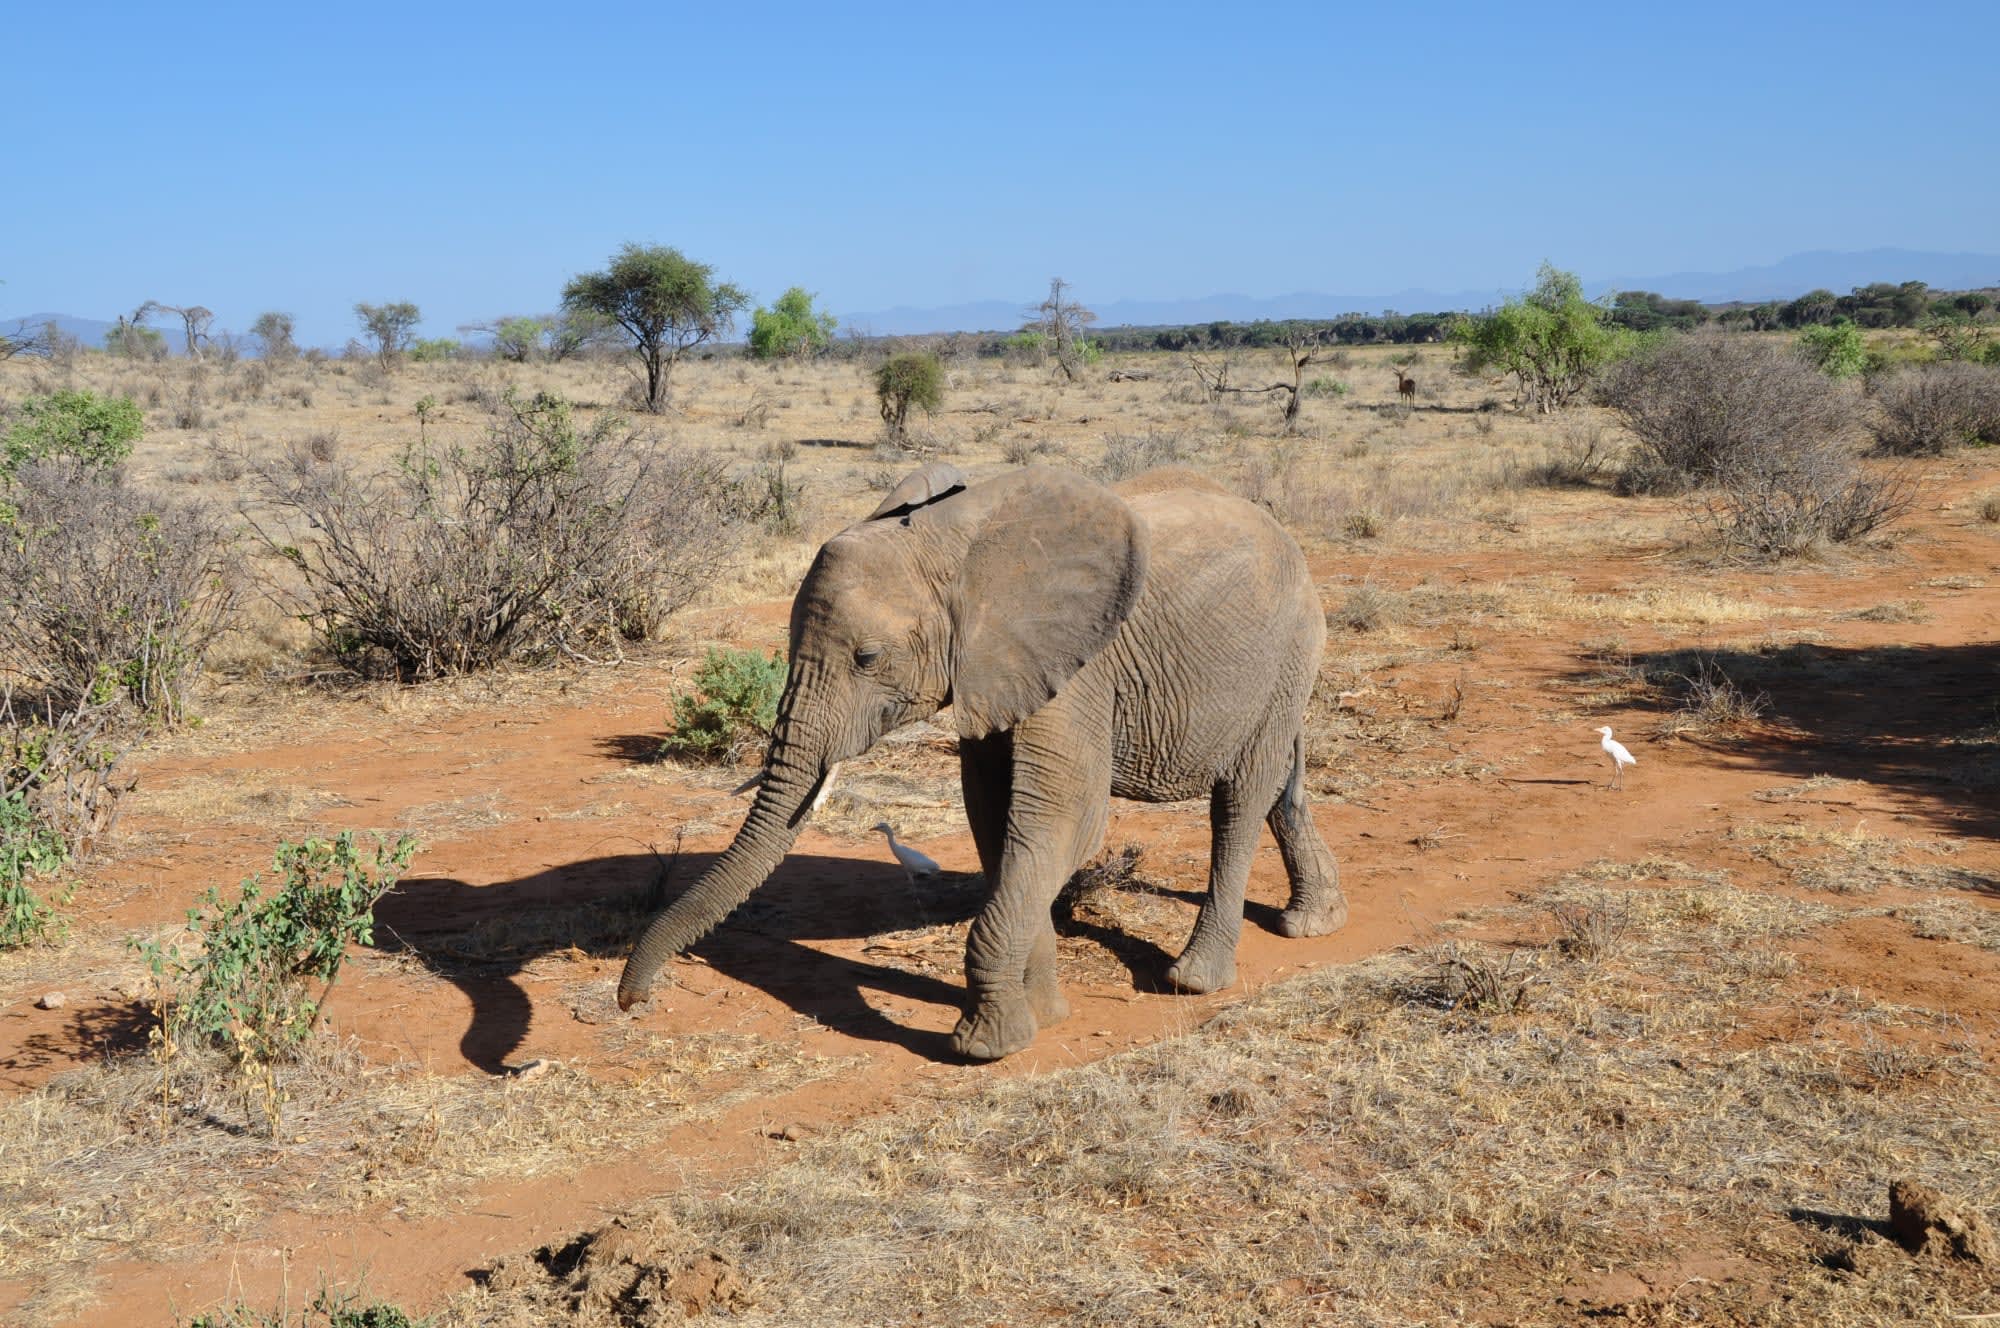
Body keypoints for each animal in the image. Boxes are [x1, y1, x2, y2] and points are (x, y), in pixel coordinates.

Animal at [618, 462, 1348, 1060]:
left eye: (867, 659)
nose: (634, 1001)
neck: (950, 541)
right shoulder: (993, 668)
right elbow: (994, 818)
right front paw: (1045, 1018)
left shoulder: (1077, 668)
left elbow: (1064, 821)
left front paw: (983, 1045)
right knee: (1283, 785)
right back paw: (1313, 924)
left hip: (1287, 646)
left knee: (1240, 800)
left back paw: (1193, 980)